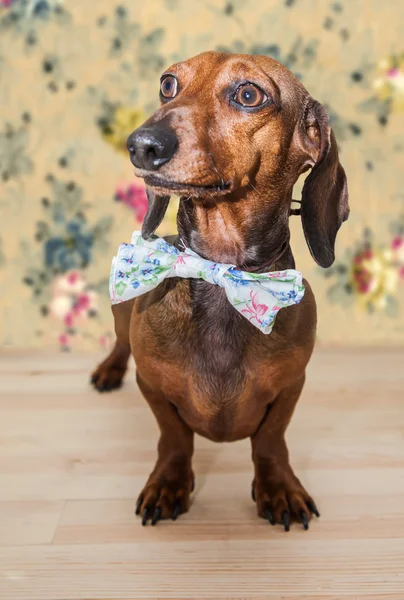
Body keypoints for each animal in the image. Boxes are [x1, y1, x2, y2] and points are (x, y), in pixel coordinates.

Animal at [91, 51, 348, 528]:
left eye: (248, 94)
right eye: (168, 84)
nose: (142, 145)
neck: (223, 275)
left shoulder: (291, 387)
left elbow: (270, 440)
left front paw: (278, 487)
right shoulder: (152, 385)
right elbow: (174, 437)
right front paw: (169, 482)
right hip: (121, 314)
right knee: (120, 342)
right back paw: (108, 369)